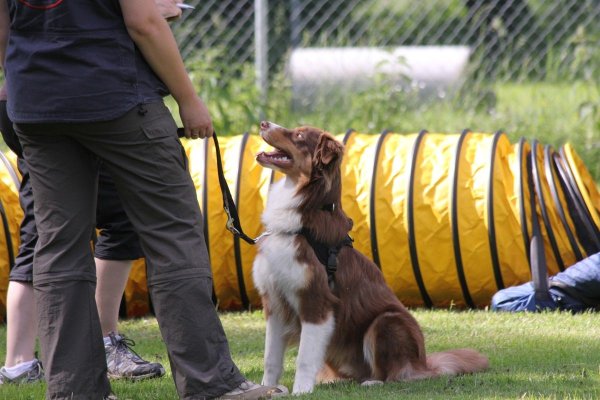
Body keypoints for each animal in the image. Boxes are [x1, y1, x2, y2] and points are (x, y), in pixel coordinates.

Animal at [251, 121, 490, 394]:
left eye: (299, 135)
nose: (264, 123)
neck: (303, 214)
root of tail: (423, 362)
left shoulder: (316, 301)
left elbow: (304, 357)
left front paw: (301, 392)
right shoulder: (274, 303)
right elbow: (270, 358)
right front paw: (267, 389)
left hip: (386, 322)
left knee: (396, 374)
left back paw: (374, 381)